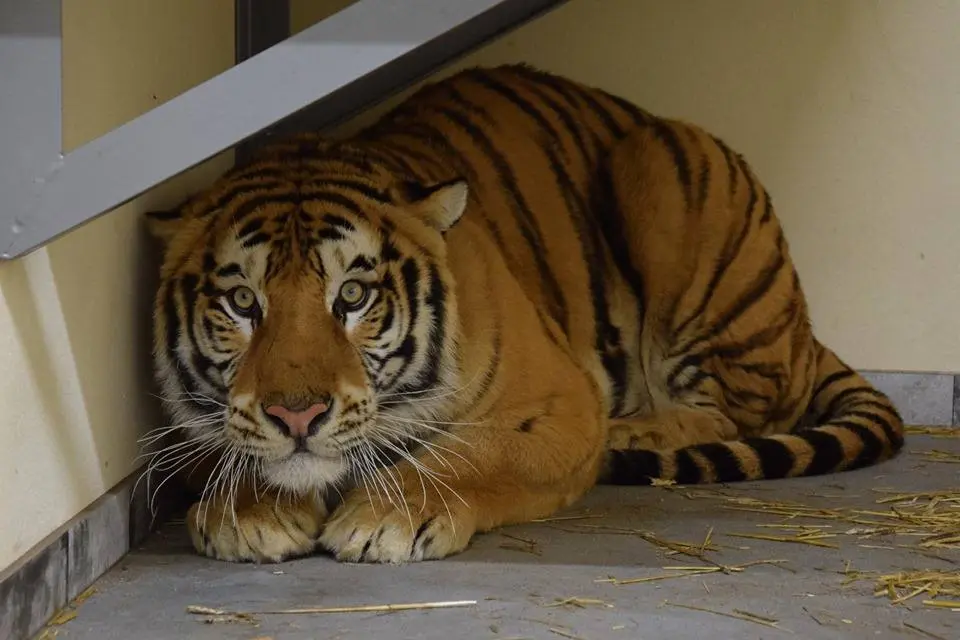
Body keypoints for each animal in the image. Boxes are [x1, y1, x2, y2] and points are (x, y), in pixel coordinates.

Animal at [146, 63, 904, 565]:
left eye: (353, 296)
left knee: (731, 414)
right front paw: (248, 515)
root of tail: (806, 329)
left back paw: (632, 433)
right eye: (243, 302)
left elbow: (469, 454)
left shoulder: (558, 402)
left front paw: (386, 519)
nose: (297, 415)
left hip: (661, 161)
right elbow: (232, 447)